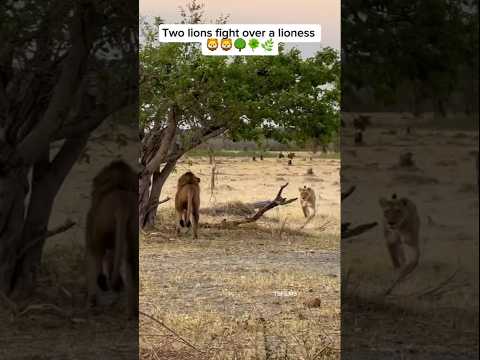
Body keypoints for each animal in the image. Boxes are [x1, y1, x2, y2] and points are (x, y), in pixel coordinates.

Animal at [85, 160, 139, 318]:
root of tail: (122, 204)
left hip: (99, 233)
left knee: (96, 260)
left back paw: (91, 304)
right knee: (131, 265)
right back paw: (130, 312)